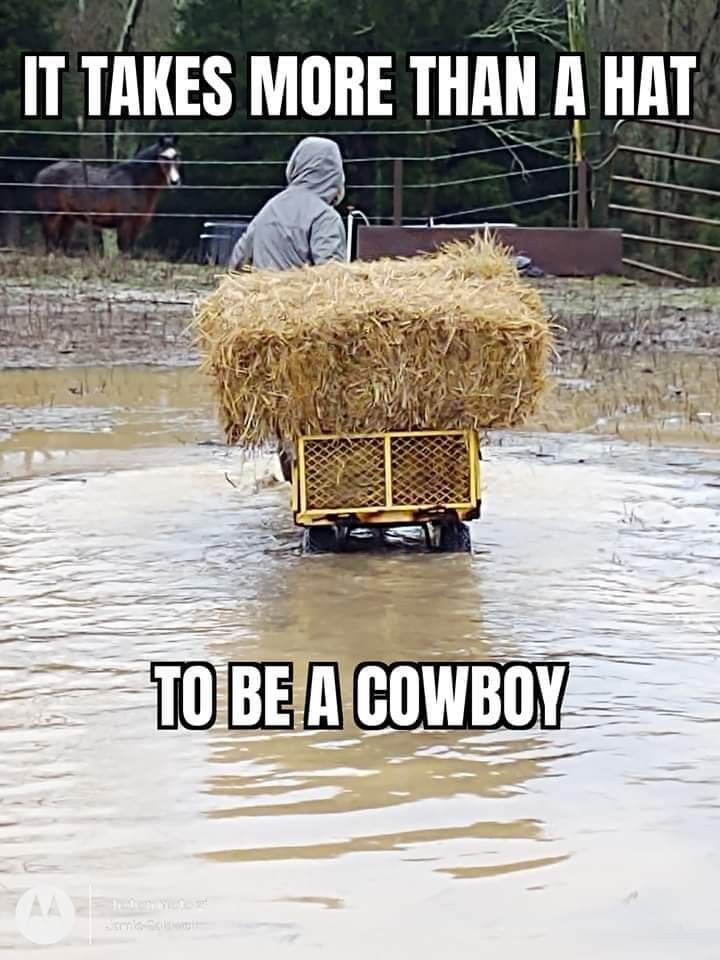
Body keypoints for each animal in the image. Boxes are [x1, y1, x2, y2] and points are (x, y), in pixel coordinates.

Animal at [34, 137, 183, 255]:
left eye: (177, 156)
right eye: (163, 156)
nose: (175, 181)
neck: (135, 181)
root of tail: (41, 174)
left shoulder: (138, 224)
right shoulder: (125, 223)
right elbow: (124, 251)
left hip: (68, 218)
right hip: (51, 216)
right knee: (50, 245)